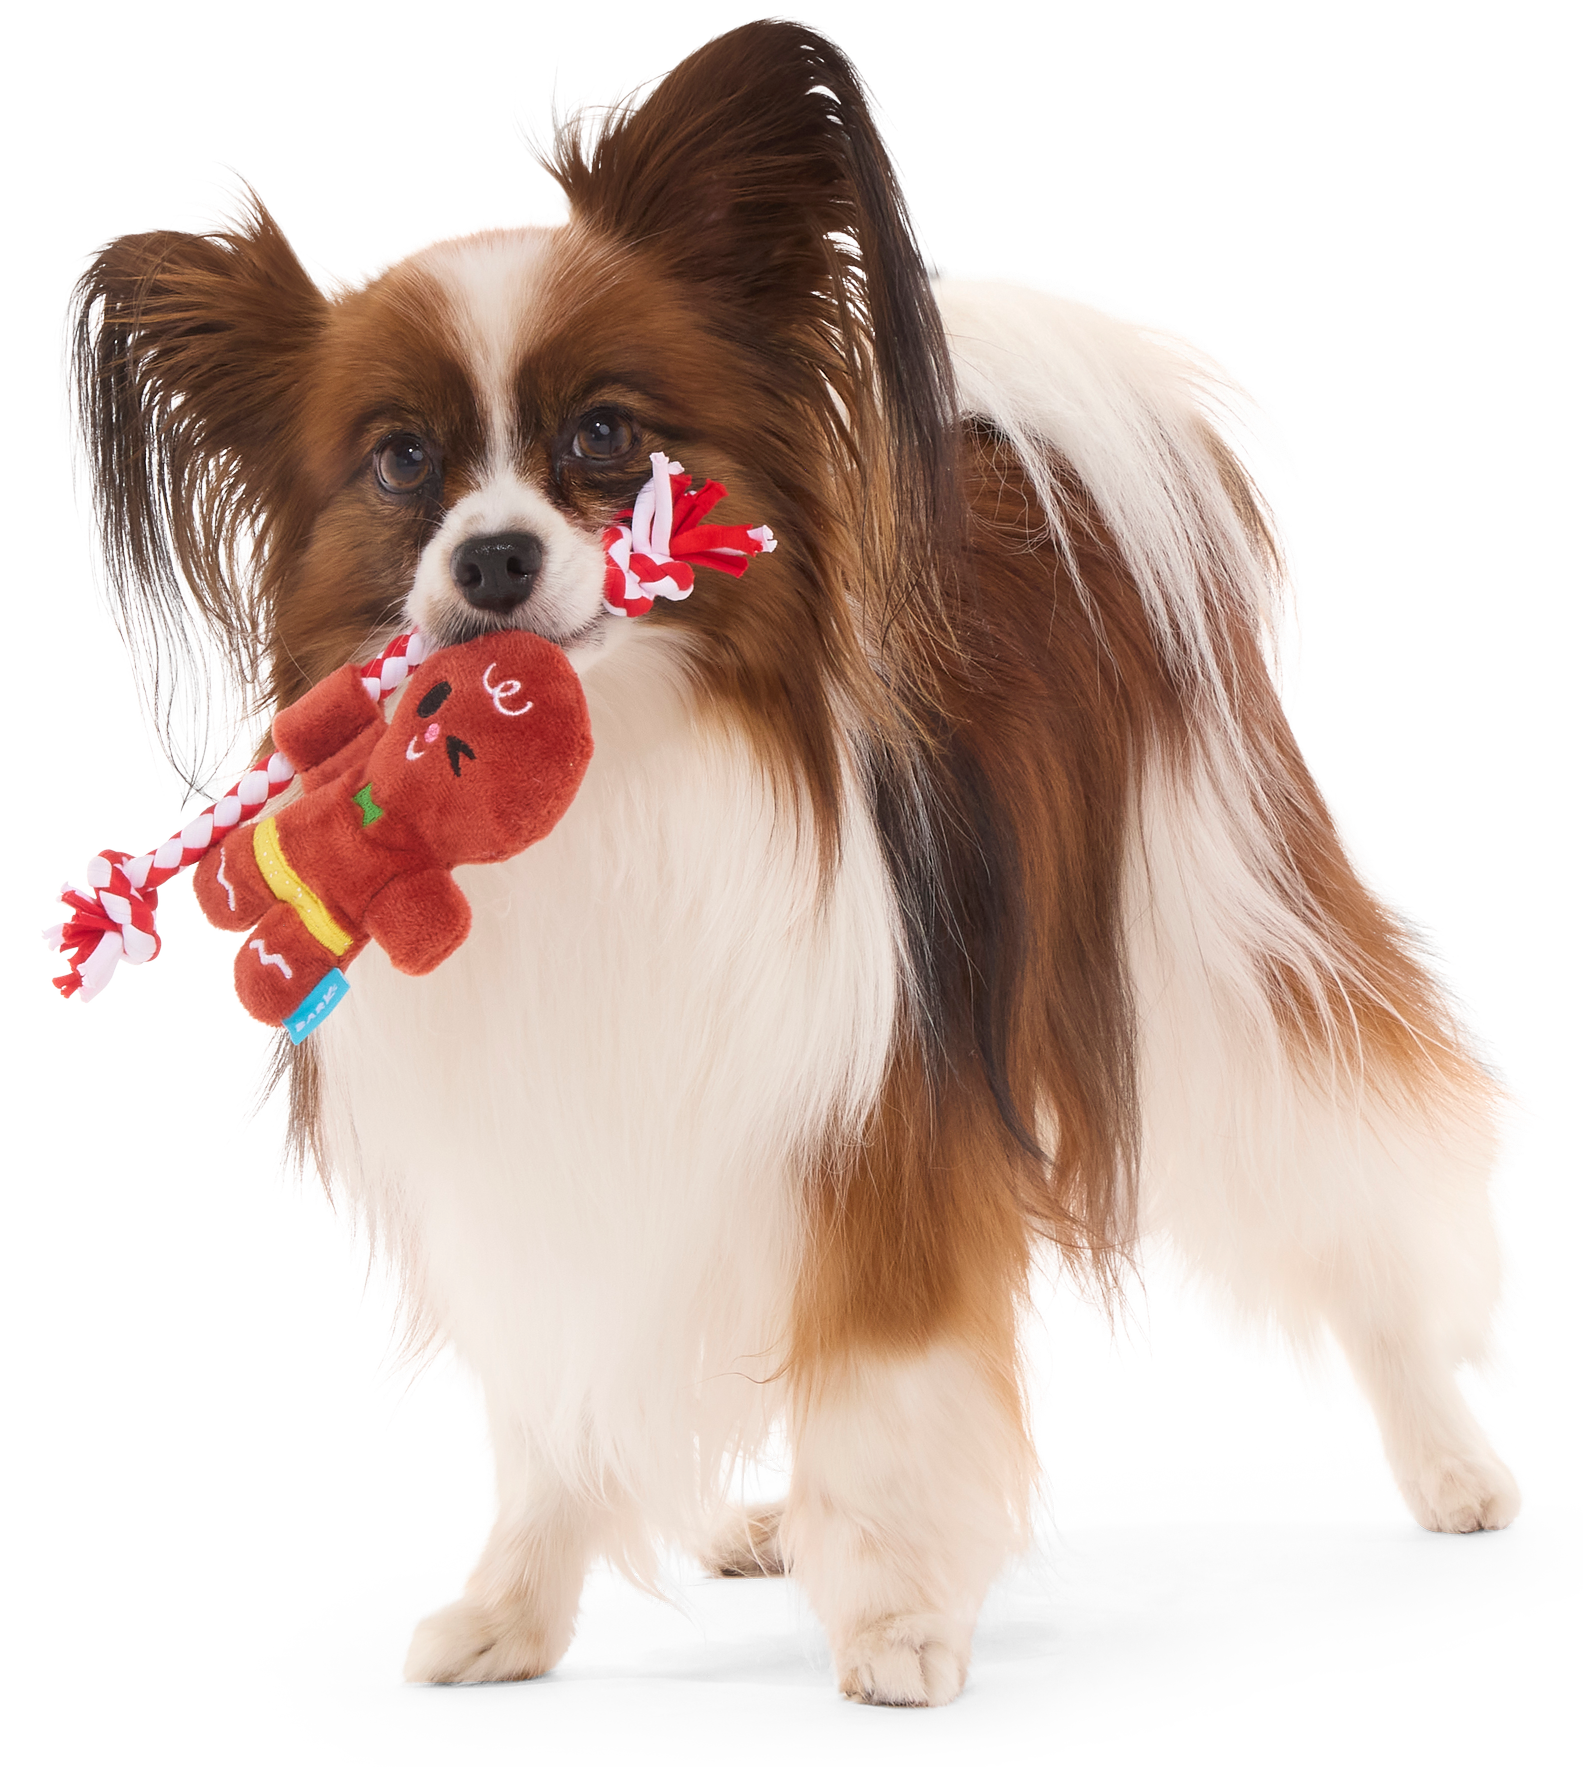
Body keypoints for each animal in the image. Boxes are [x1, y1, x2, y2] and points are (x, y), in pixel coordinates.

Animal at [58, 16, 1530, 1706]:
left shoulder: (872, 1132)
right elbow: (561, 1425)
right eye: (400, 464)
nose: (491, 558)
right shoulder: (553, 1172)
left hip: (1217, 960)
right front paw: (516, 1604)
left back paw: (1449, 1466)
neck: (609, 781)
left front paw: (892, 1624)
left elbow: (885, 1399)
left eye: (604, 436)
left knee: (1361, 1192)